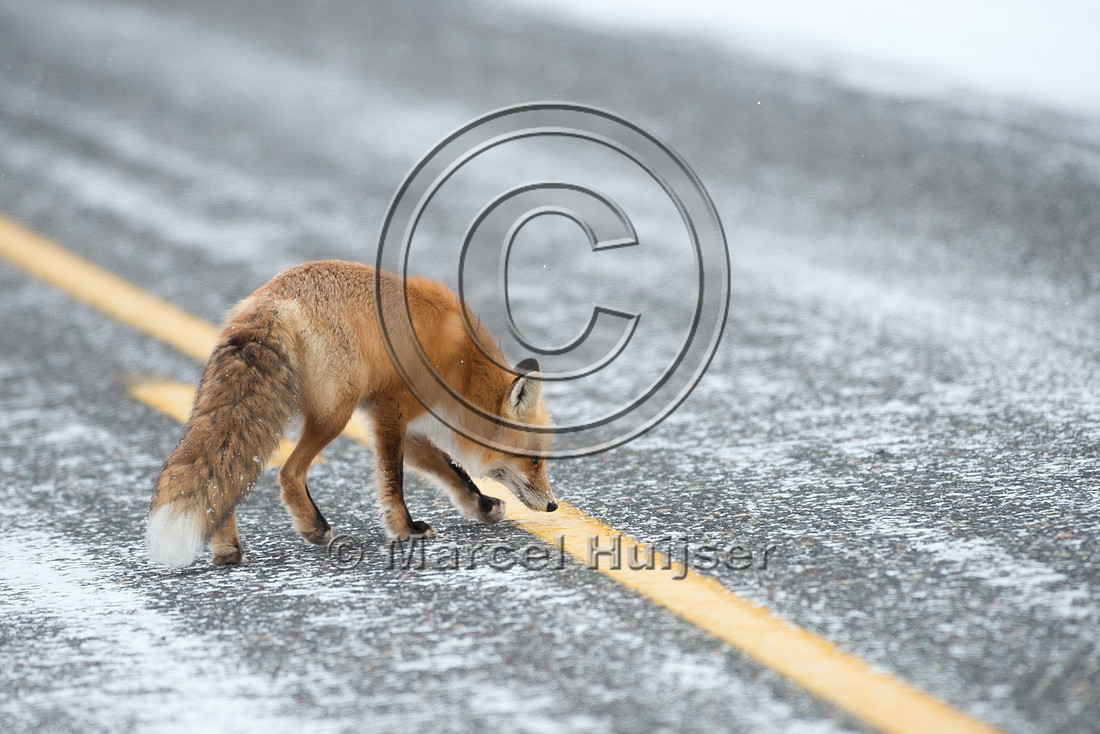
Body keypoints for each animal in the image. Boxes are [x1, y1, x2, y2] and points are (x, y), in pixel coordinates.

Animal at [145, 260, 556, 567]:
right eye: (535, 460)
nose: (553, 504)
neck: (462, 364)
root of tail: (272, 299)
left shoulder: (408, 423)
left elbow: (452, 470)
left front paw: (482, 506)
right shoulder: (390, 408)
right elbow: (394, 479)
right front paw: (405, 529)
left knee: (223, 480)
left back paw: (227, 549)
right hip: (335, 414)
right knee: (288, 472)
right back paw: (313, 527)